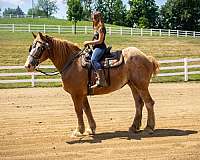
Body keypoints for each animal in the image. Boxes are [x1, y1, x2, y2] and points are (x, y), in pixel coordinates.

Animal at [24, 32, 159, 136]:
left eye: (40, 48)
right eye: (31, 47)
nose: (28, 65)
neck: (72, 63)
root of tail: (147, 57)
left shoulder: (76, 94)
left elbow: (78, 110)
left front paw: (78, 130)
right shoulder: (83, 94)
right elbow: (87, 109)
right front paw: (91, 128)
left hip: (141, 86)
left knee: (149, 103)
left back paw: (149, 128)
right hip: (133, 85)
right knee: (139, 104)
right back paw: (133, 127)